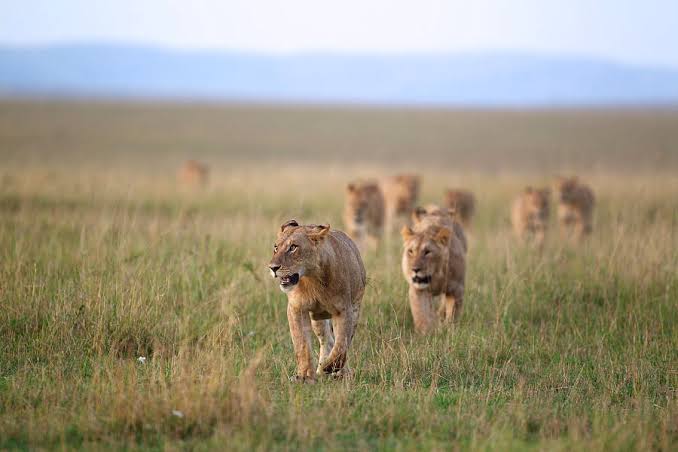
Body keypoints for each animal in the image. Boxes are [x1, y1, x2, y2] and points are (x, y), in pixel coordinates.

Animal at [270, 219, 366, 382]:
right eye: (276, 247)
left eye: (293, 247)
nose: (272, 268)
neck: (312, 279)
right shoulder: (296, 308)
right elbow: (302, 344)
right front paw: (304, 376)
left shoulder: (343, 310)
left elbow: (341, 345)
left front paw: (331, 367)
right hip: (318, 320)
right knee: (326, 340)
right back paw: (321, 369)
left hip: (355, 309)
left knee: (344, 342)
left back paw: (340, 372)